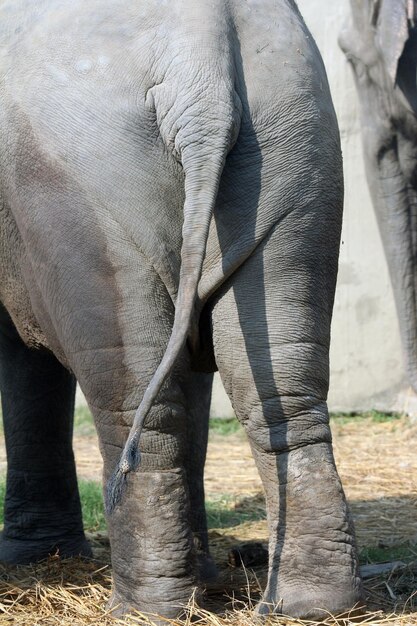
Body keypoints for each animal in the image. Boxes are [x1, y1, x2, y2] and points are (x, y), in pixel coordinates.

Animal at [0, 0, 362, 616]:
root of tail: (199, 60)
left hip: (81, 193)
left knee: (130, 394)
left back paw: (143, 610)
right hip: (298, 144)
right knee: (280, 381)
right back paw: (307, 604)